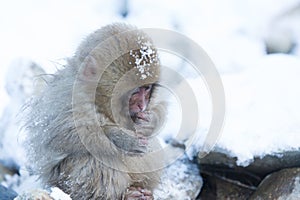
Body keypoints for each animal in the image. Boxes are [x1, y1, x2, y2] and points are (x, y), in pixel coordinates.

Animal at [23, 23, 165, 198]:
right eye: (134, 92)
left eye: (146, 89)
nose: (142, 105)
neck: (97, 97)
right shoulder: (67, 95)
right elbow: (58, 134)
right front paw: (122, 139)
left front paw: (149, 120)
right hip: (64, 180)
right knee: (96, 157)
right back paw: (125, 195)